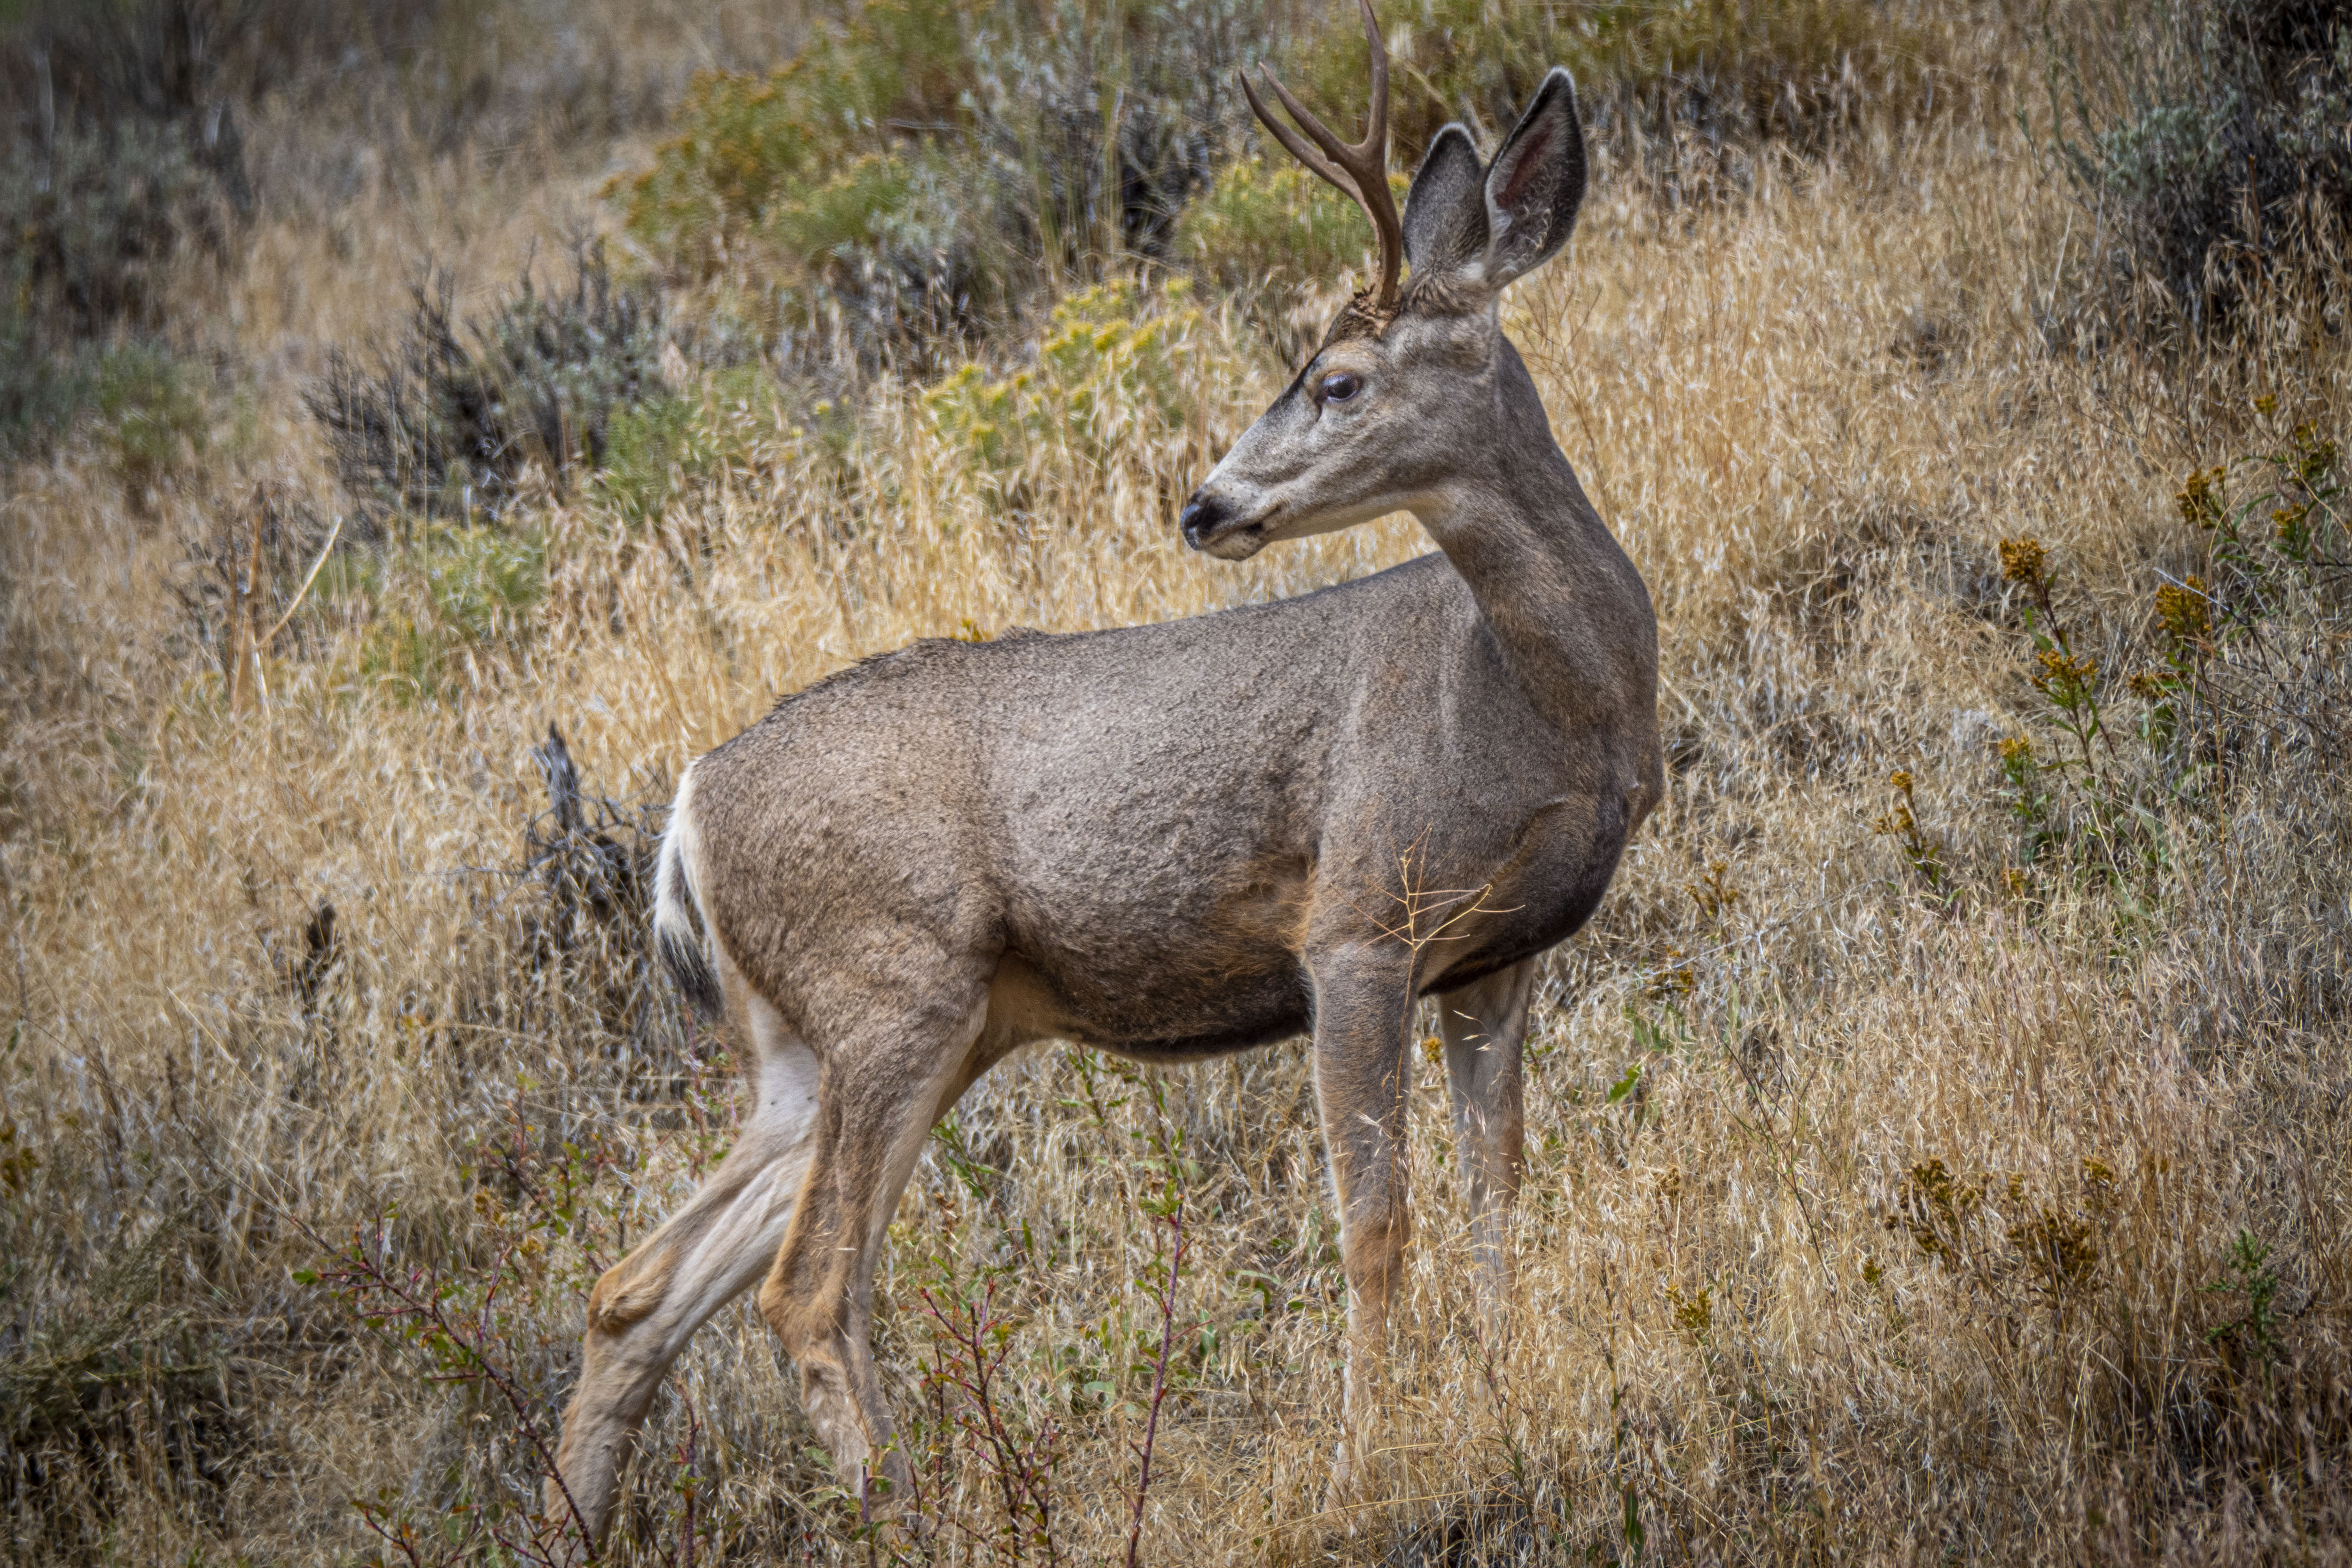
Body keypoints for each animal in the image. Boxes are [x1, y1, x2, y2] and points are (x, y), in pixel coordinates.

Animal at [545, 0, 1656, 1542]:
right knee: (806, 1283)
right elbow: (1374, 1221)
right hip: (892, 986)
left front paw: (1502, 1392)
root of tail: (688, 808)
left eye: (1339, 380)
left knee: (636, 1286)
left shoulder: (1498, 954)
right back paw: (919, 1518)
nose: (1206, 502)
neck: (1534, 701)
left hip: (834, 1043)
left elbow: (1499, 1195)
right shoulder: (1355, 926)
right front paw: (1363, 1464)